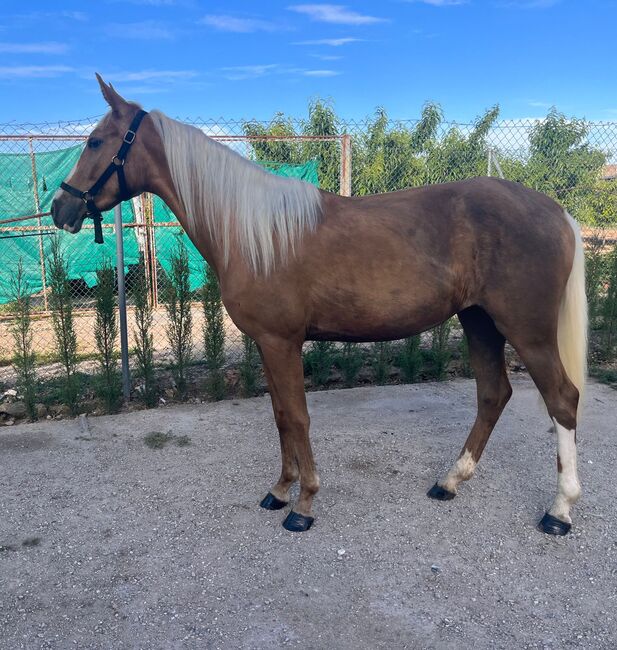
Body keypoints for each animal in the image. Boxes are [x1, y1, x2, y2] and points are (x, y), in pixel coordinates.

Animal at [50, 76, 584, 536]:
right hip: (479, 322)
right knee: (493, 395)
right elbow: (281, 415)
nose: (60, 208)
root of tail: (557, 211)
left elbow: (298, 417)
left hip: (528, 330)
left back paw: (559, 511)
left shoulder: (281, 342)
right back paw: (449, 482)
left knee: (562, 400)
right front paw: (279, 491)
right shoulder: (268, 344)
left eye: (96, 142)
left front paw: (303, 505)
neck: (254, 231)